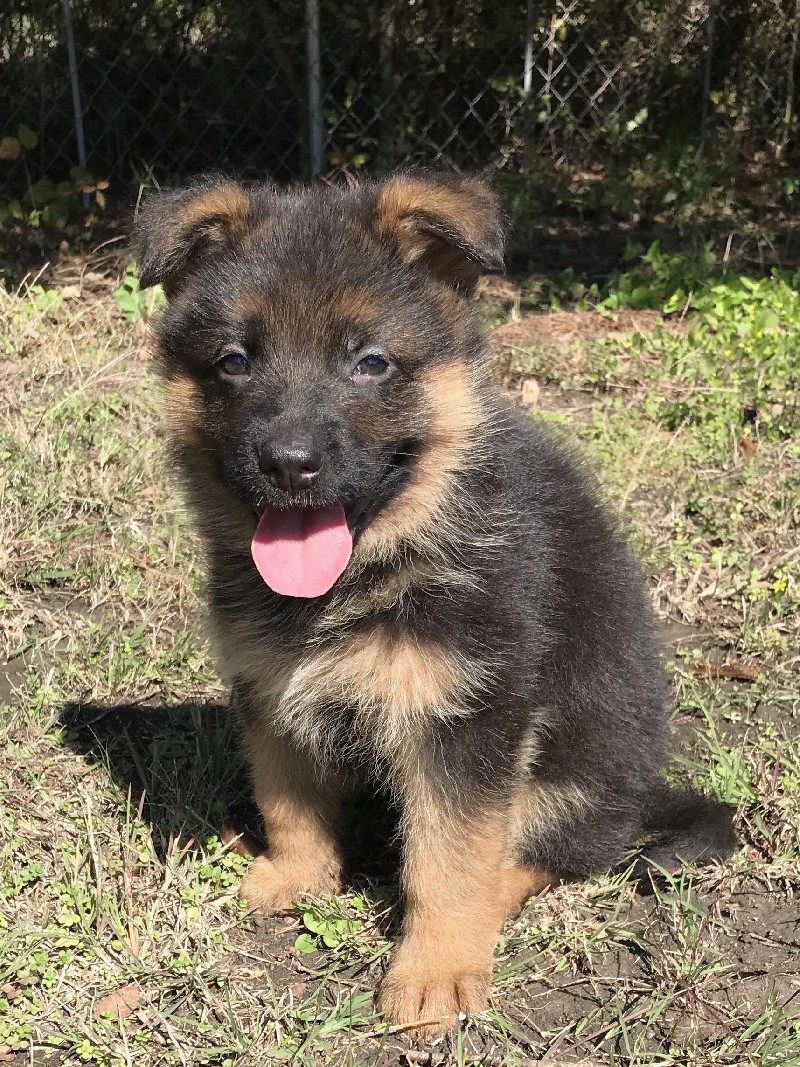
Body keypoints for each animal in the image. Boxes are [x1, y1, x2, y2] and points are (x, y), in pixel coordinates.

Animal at [133, 172, 738, 1032]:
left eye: (371, 363)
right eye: (234, 361)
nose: (289, 462)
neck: (377, 561)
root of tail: (643, 794)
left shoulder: (466, 714)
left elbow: (452, 856)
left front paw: (438, 968)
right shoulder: (271, 684)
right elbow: (289, 795)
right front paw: (295, 875)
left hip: (573, 775)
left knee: (561, 849)